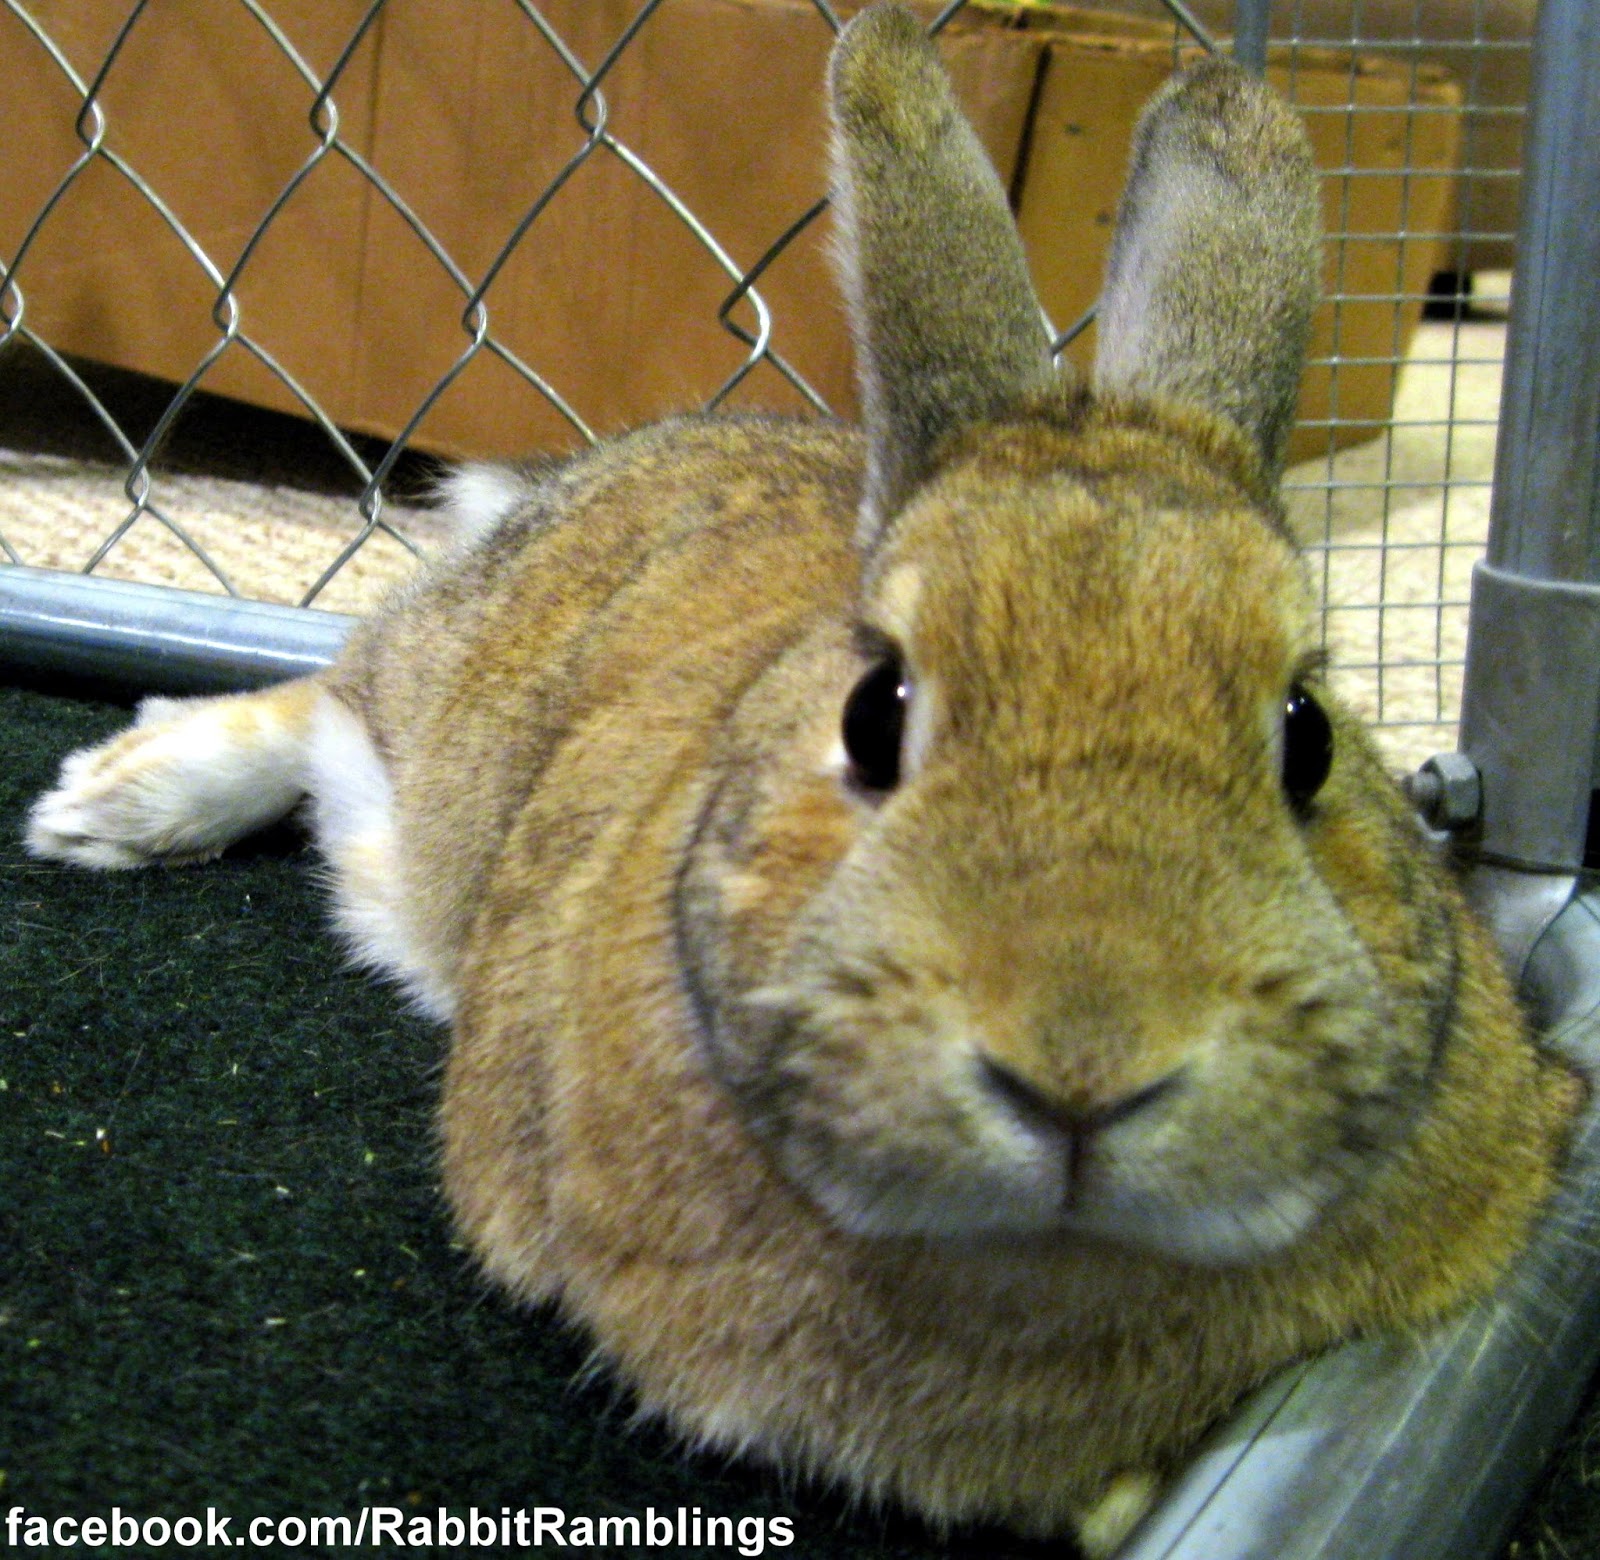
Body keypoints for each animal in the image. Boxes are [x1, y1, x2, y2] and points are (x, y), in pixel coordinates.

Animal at [24, 4, 1581, 1552]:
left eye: (1308, 732)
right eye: (874, 712)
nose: (1083, 1070)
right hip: (437, 694)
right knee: (324, 694)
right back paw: (107, 804)